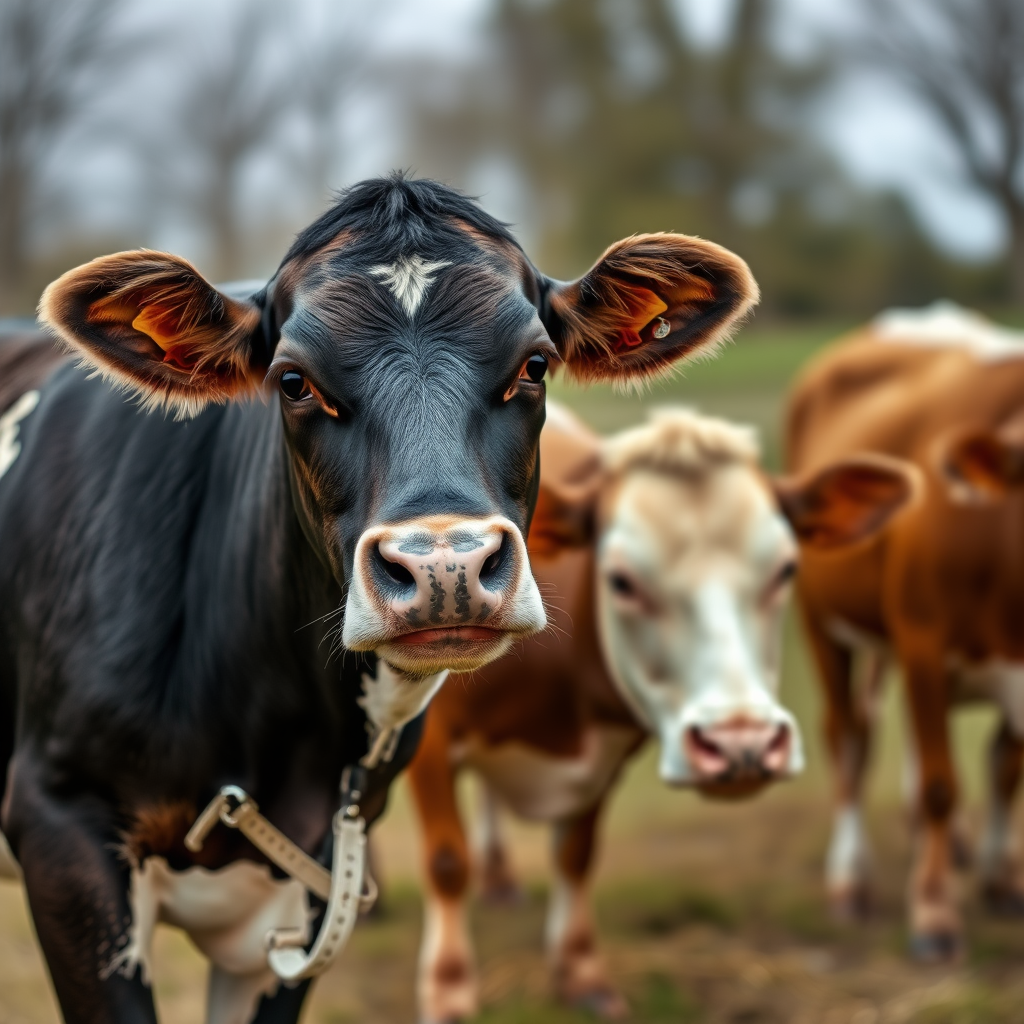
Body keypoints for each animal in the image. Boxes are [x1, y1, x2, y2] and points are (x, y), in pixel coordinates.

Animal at [407, 399, 913, 1015]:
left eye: (787, 569)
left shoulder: (605, 751)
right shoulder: (429, 739)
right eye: (621, 580)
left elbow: (576, 853)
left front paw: (581, 973)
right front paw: (447, 990)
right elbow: (447, 862)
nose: (741, 744)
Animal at [790, 301, 1024, 958]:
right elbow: (943, 784)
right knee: (849, 735)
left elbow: (1005, 768)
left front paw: (1002, 881)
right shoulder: (924, 641)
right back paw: (850, 881)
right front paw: (935, 914)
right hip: (822, 620)